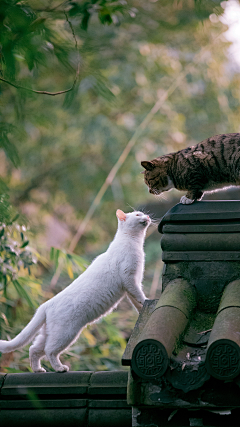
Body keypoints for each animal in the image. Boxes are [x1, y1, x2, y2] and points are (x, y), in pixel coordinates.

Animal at [0, 209, 150, 372]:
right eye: (138, 215)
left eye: (142, 213)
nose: (148, 216)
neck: (134, 242)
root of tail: (46, 305)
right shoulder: (129, 278)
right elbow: (139, 295)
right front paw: (147, 301)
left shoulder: (130, 285)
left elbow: (136, 301)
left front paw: (142, 310)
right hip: (66, 334)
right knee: (49, 350)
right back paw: (60, 368)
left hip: (49, 334)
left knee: (34, 349)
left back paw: (38, 370)